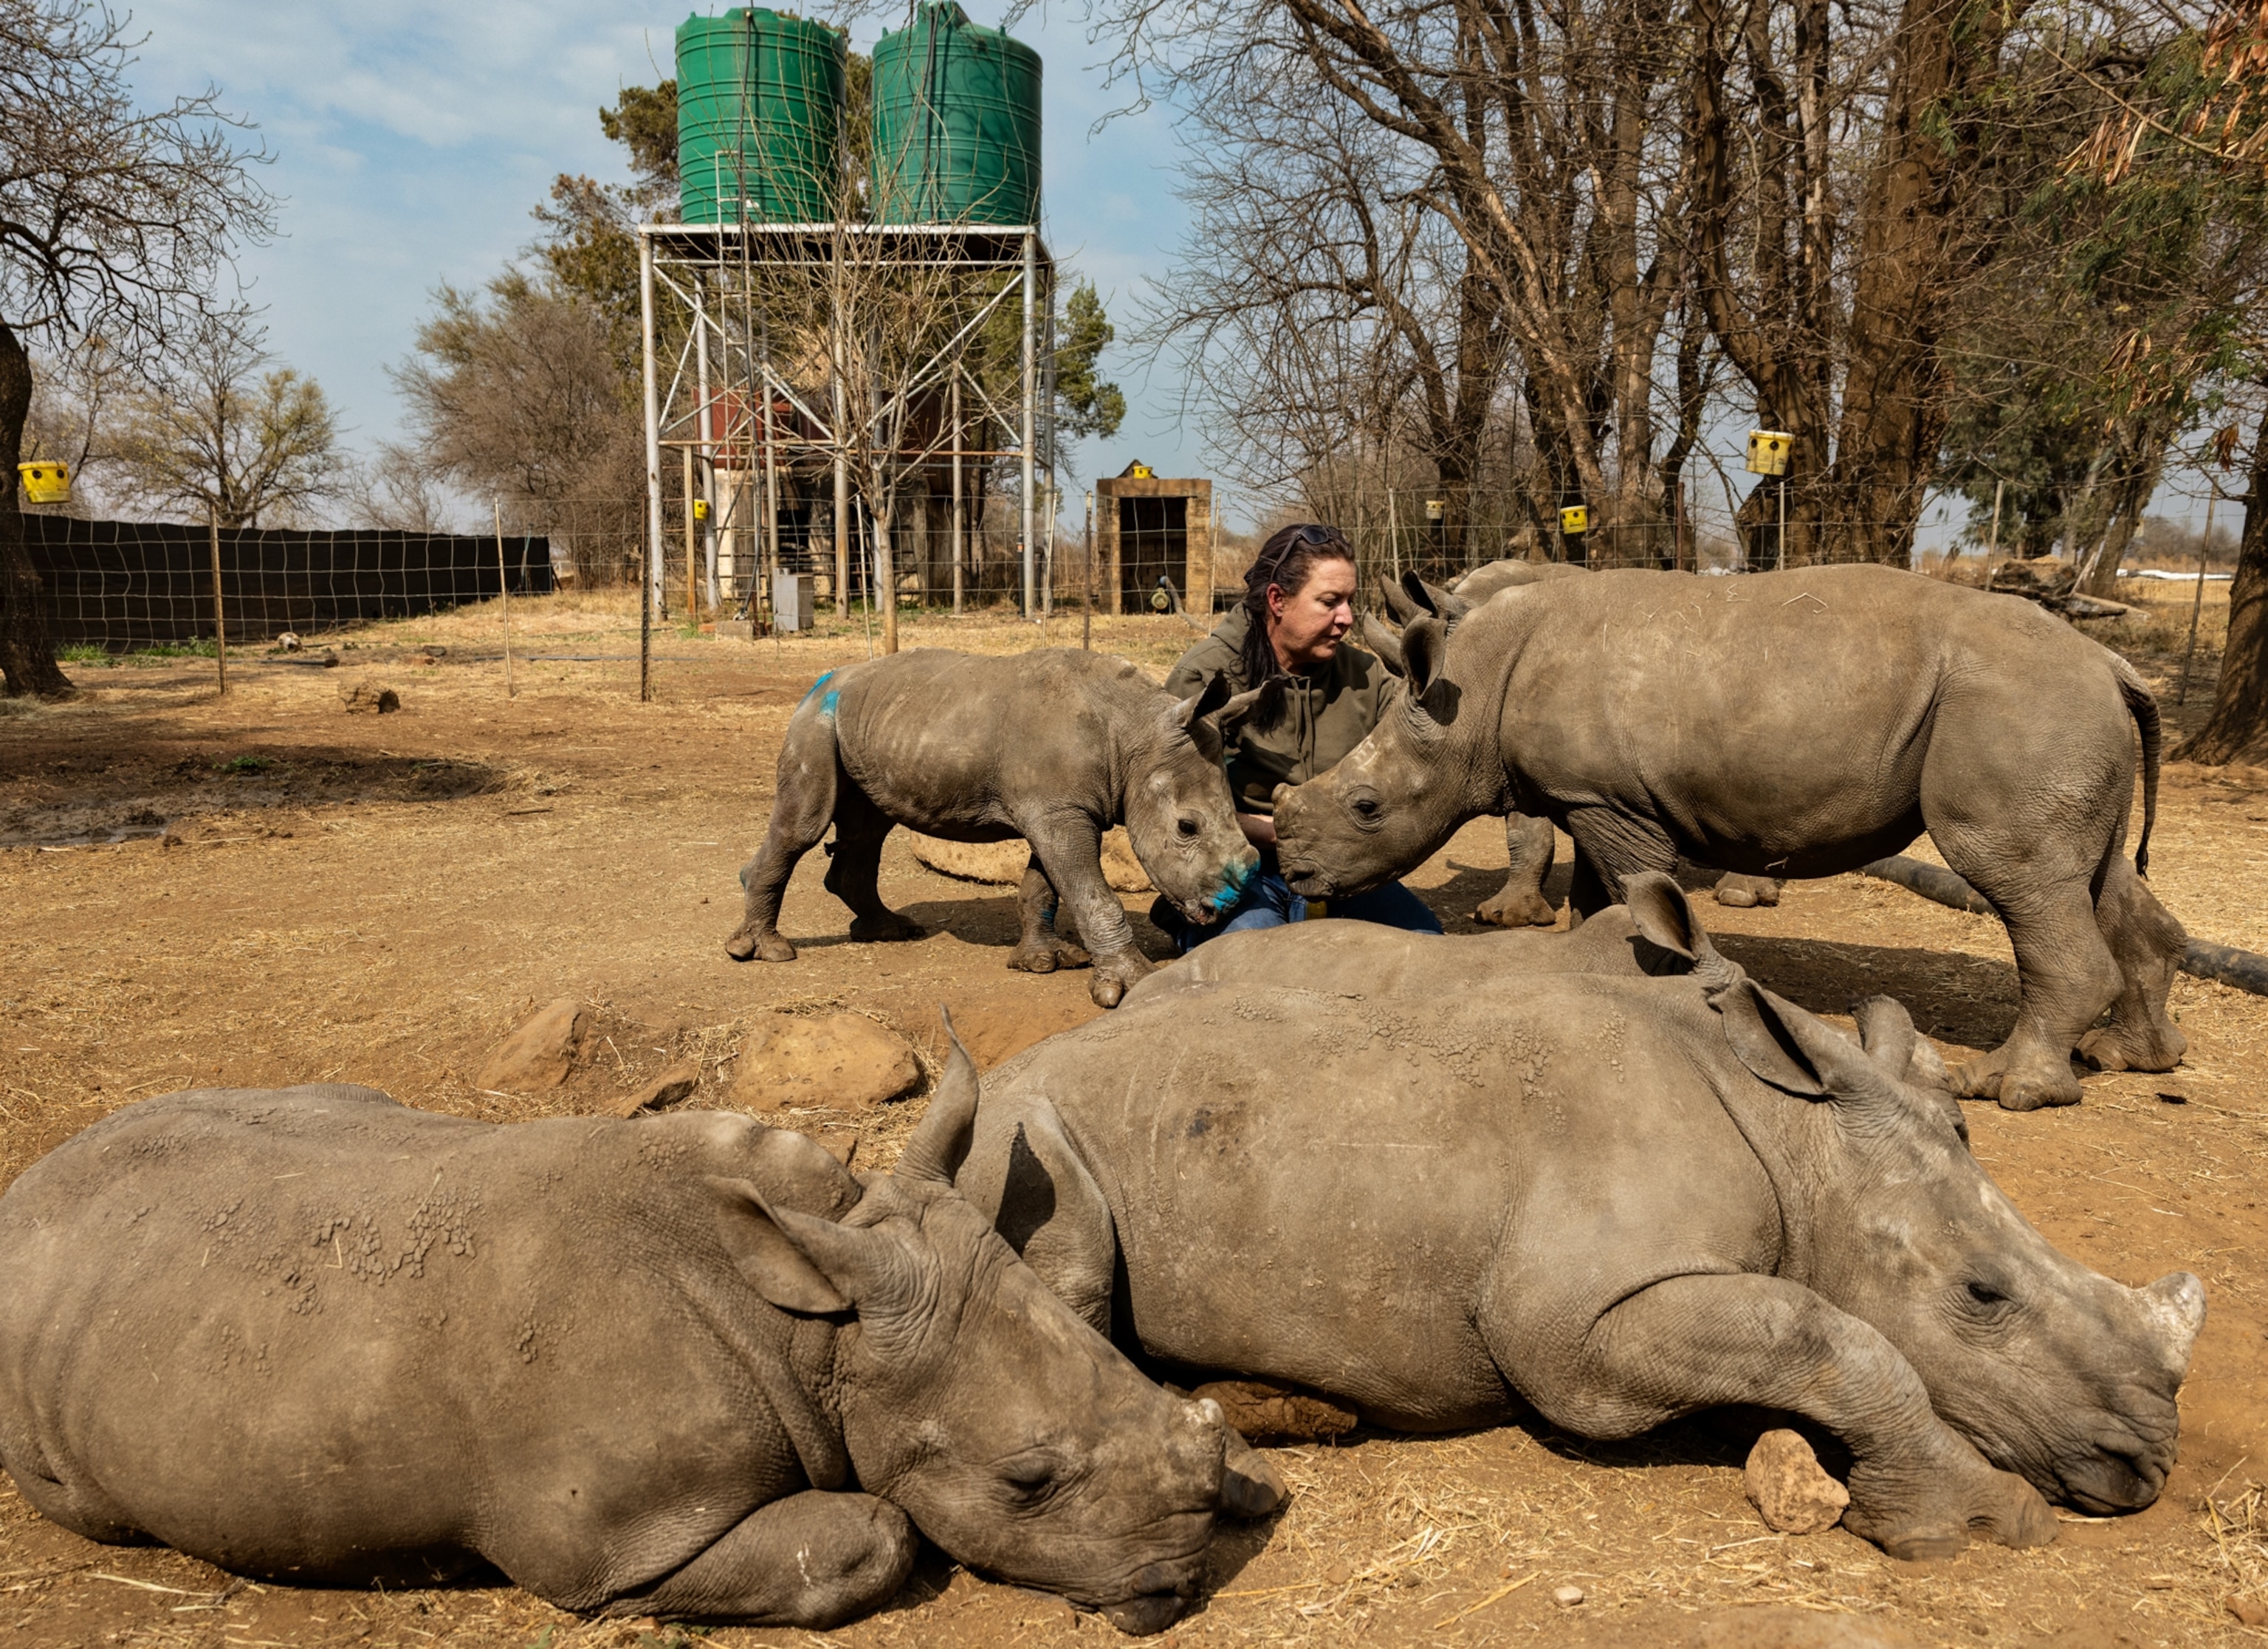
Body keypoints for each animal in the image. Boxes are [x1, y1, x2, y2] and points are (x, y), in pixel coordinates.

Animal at [0, 1052, 1268, 1634]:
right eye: (1027, 1481)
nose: (1180, 1581)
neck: (816, 1329)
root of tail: (30, 1187)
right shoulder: (611, 1540)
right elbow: (874, 1532)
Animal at [726, 649, 1258, 1008]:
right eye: (1187, 827)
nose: (1225, 907)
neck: (1134, 736)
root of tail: (824, 681)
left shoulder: (1056, 810)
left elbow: (1044, 886)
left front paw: (1044, 961)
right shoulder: (1059, 813)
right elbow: (1093, 894)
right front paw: (1129, 985)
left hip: (872, 722)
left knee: (870, 827)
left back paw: (891, 931)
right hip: (816, 720)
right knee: (806, 826)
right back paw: (766, 952)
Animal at [956, 963, 2205, 1561]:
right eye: (1982, 1295)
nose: (2142, 1465)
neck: (1803, 1140)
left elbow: (1809, 1331)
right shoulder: (1580, 1328)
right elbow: (1835, 1334)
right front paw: (1983, 1523)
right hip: (1012, 1125)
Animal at [1285, 564, 2187, 1110]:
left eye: (1366, 807)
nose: (1294, 873)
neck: (1468, 698)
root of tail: (2114, 663)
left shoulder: (1610, 801)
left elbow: (1632, 892)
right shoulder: (1591, 796)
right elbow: (1594, 898)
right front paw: (1588, 970)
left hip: (2020, 704)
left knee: (2018, 875)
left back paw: (2003, 1086)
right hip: (2061, 710)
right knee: (2092, 878)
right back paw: (2131, 1058)